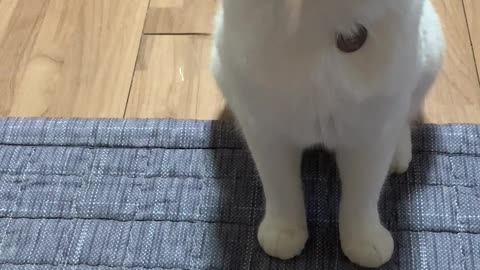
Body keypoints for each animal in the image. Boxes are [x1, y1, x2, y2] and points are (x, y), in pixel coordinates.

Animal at [212, 0, 444, 268]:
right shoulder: (266, 128)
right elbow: (281, 188)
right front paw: (284, 232)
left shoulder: (371, 133)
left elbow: (363, 195)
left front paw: (364, 240)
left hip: (428, 57)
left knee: (405, 114)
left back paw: (398, 154)